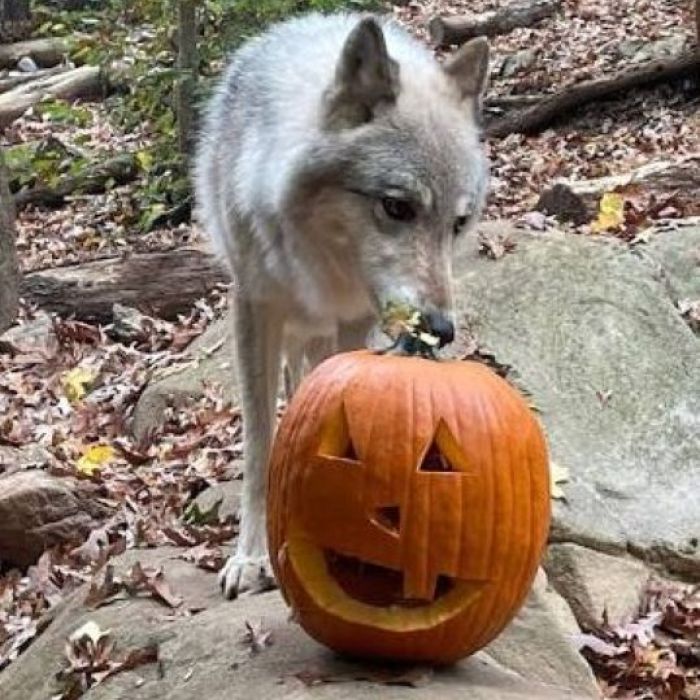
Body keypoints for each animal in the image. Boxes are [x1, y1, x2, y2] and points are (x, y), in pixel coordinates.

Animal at [194, 12, 490, 599]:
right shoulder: (255, 308)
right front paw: (250, 557)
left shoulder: (353, 319)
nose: (441, 328)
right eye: (397, 207)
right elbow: (259, 444)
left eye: (458, 223)